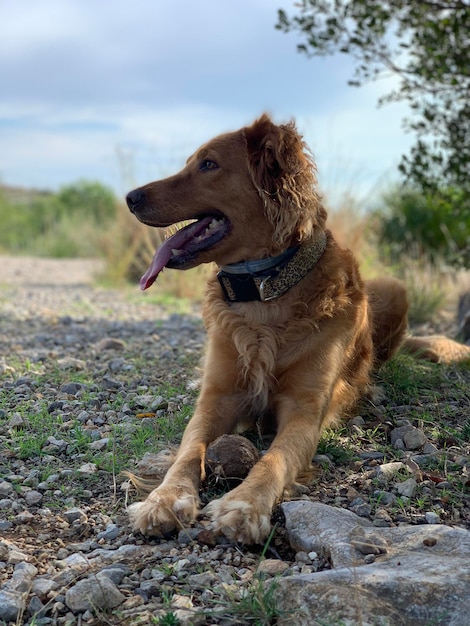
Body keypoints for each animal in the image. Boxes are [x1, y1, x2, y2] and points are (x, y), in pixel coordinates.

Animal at [126, 114, 470, 544]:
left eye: (208, 164)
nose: (130, 197)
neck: (263, 295)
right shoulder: (217, 398)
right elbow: (188, 451)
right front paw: (165, 498)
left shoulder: (303, 411)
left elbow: (273, 458)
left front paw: (245, 505)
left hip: (395, 290)